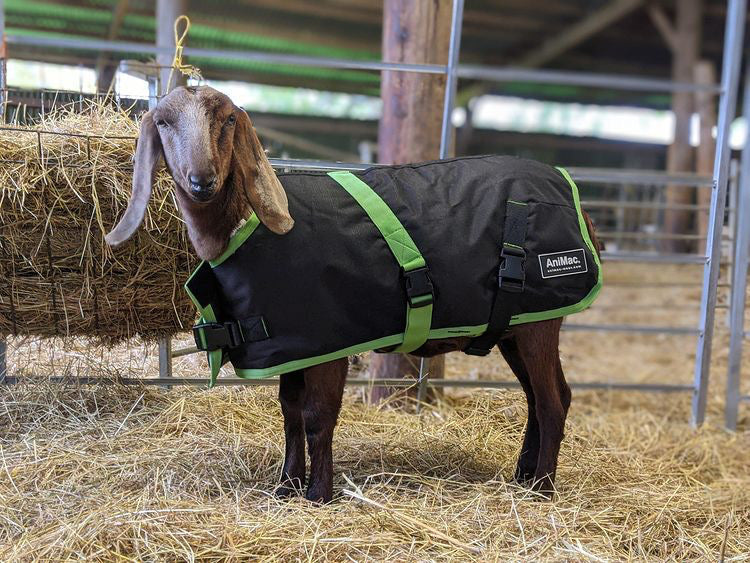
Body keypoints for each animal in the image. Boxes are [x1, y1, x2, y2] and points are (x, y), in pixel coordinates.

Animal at [106, 85, 601, 504]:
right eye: (163, 123)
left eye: (228, 119)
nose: (201, 180)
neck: (246, 224)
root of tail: (582, 211)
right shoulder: (294, 343)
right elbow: (289, 412)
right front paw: (286, 487)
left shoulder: (330, 342)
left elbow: (317, 416)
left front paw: (318, 494)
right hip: (517, 328)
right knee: (541, 398)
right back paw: (523, 476)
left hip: (541, 320)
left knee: (553, 401)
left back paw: (542, 489)